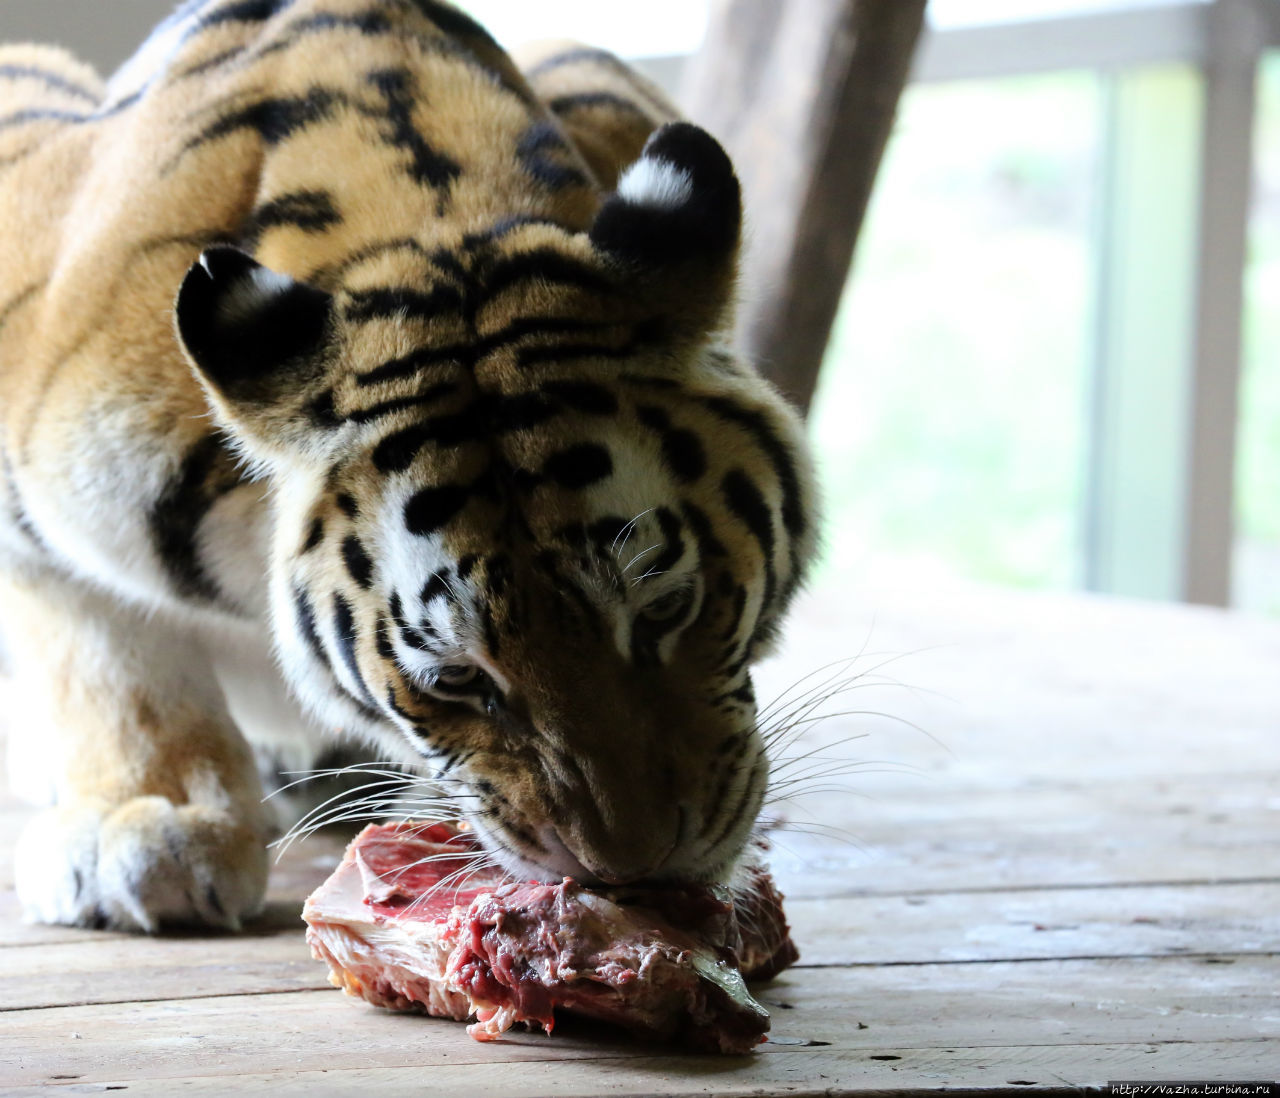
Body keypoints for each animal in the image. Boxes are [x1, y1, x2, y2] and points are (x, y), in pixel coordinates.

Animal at [0, 0, 814, 931]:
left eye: (671, 607)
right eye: (455, 678)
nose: (632, 871)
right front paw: (153, 820)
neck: (423, 224)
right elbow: (100, 643)